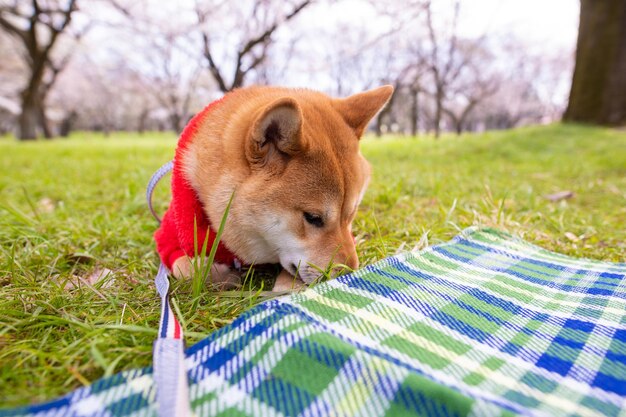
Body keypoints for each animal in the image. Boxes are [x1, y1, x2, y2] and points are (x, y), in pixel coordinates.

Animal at [154, 85, 392, 290]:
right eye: (313, 217)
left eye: (350, 215)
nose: (348, 275)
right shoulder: (171, 234)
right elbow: (185, 266)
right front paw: (215, 271)